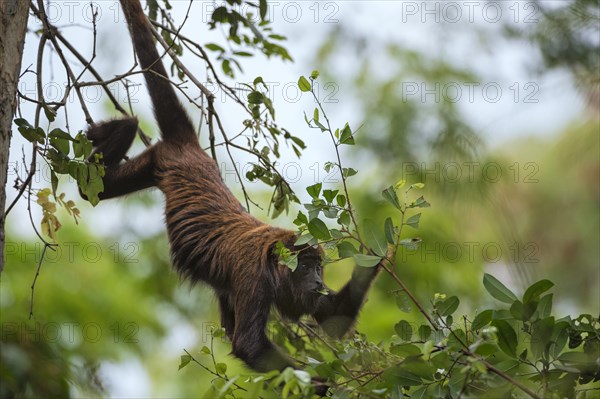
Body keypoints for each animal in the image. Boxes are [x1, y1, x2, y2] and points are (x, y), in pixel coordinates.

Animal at [86, 0, 382, 394]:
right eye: (305, 267)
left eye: (320, 268)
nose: (319, 281)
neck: (274, 262)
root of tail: (193, 151)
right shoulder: (252, 276)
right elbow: (249, 344)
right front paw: (320, 384)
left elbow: (332, 318)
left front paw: (380, 251)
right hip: (161, 160)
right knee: (96, 188)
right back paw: (123, 127)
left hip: (153, 164)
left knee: (98, 188)